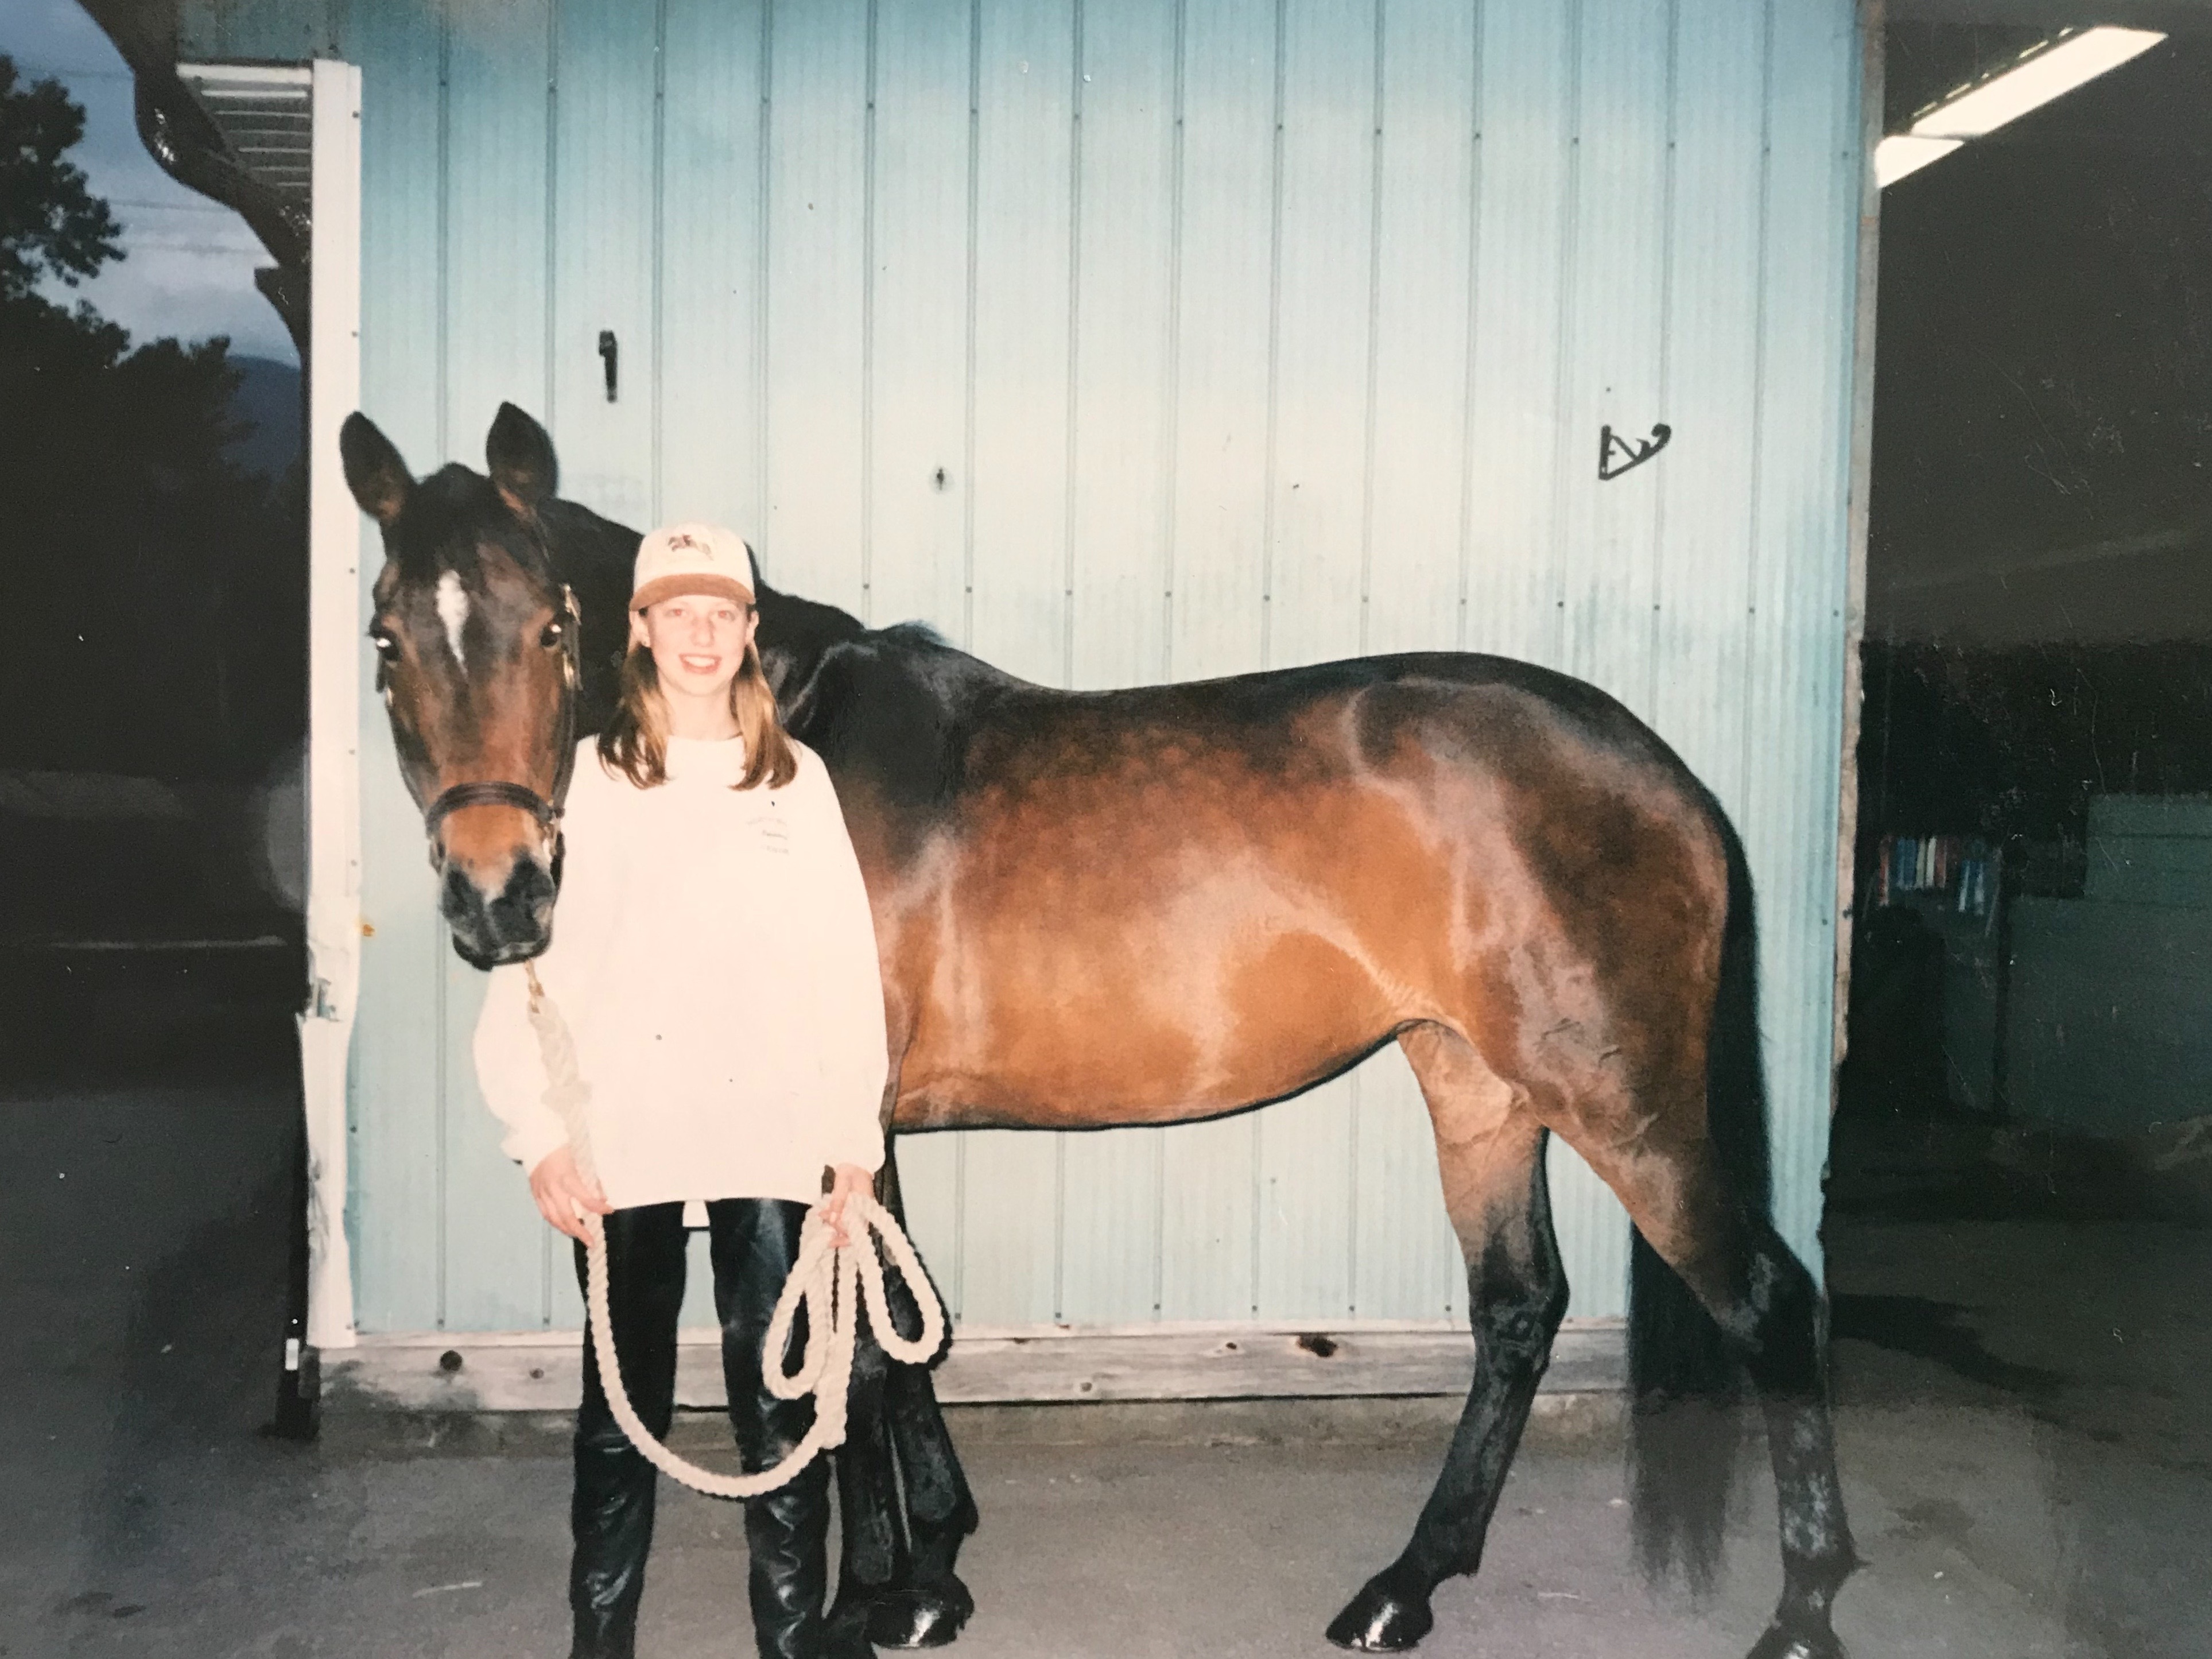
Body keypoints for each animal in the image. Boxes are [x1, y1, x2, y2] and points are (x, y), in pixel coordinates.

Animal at [340, 402, 1849, 1659]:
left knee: (1768, 1300)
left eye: (551, 627)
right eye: (385, 636)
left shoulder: (836, 1122)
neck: (778, 763)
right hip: (1474, 1080)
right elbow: (893, 1347)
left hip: (1616, 1094)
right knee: (1517, 1308)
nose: (495, 897)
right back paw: (1402, 1586)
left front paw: (872, 1600)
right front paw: (934, 1569)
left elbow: (856, 1357)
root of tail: (1662, 777)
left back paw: (1801, 1611)